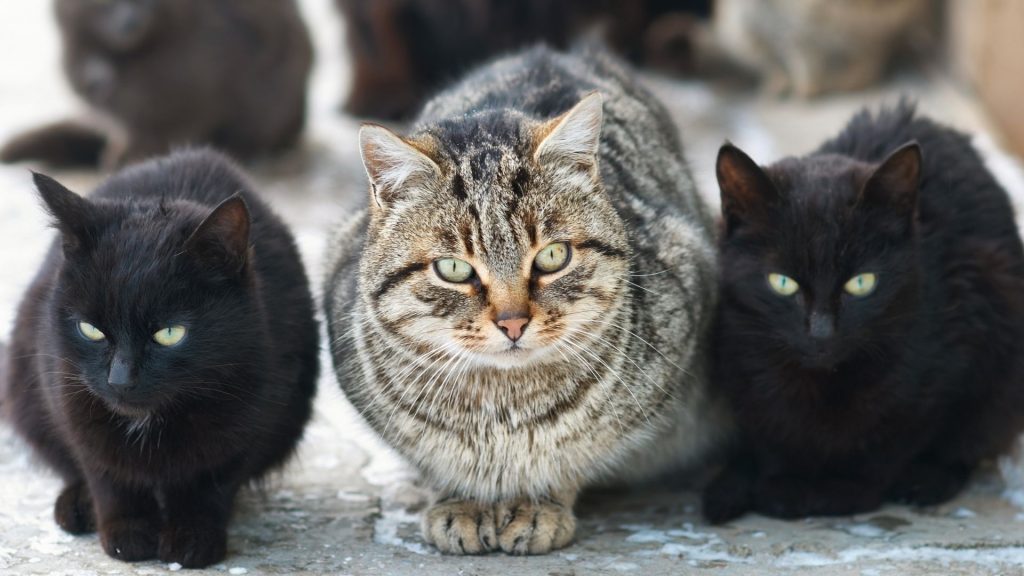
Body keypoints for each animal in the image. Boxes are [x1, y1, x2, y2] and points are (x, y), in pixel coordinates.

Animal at [3, 148, 319, 565]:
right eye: (91, 329)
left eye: (169, 334)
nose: (120, 379)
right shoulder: (69, 400)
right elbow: (106, 472)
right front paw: (128, 533)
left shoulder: (256, 411)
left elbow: (212, 482)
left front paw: (193, 538)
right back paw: (76, 505)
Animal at [323, 45, 724, 557]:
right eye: (453, 269)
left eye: (553, 256)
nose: (513, 323)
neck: (504, 409)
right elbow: (438, 458)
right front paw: (464, 500)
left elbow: (572, 453)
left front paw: (537, 505)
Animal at [704, 101, 1024, 520]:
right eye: (782, 282)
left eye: (861, 283)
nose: (821, 332)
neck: (823, 384)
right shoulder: (744, 363)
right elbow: (772, 430)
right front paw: (783, 483)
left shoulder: (956, 349)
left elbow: (892, 439)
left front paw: (844, 490)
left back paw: (927, 480)